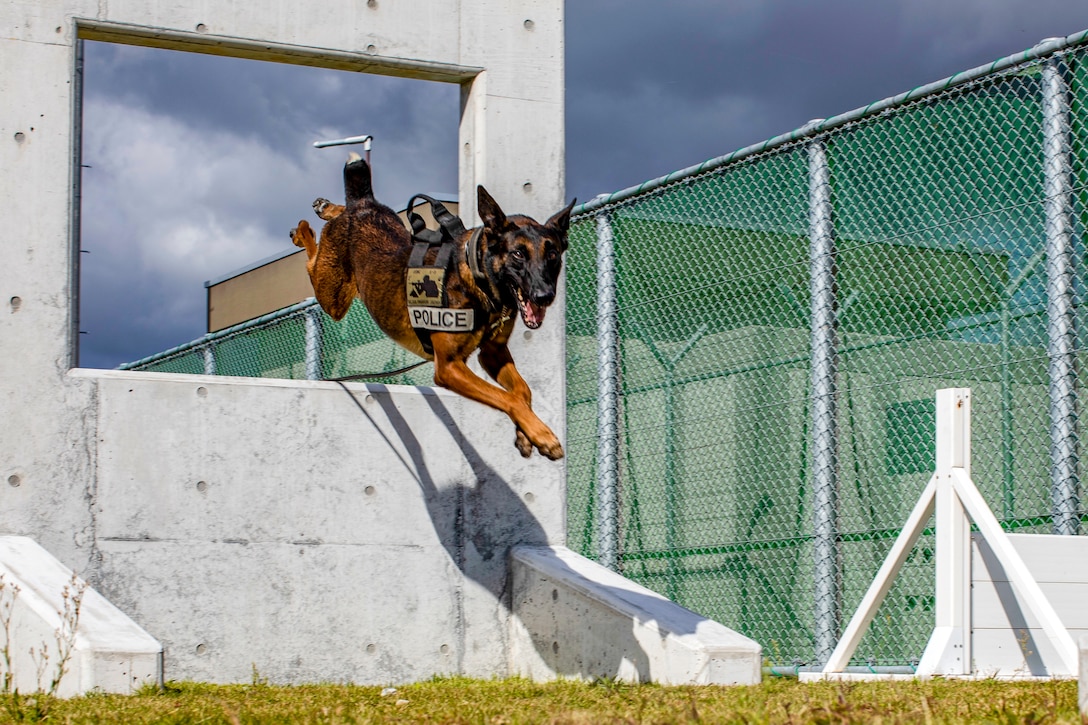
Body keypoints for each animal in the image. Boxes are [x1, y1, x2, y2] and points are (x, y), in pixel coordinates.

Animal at [289, 157, 578, 457]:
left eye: (553, 254)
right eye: (518, 254)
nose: (544, 295)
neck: (475, 277)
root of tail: (362, 204)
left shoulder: (492, 352)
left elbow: (522, 391)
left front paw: (525, 432)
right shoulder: (449, 367)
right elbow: (507, 398)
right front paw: (542, 434)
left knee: (342, 213)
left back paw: (327, 209)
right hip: (332, 295)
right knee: (311, 259)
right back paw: (303, 230)